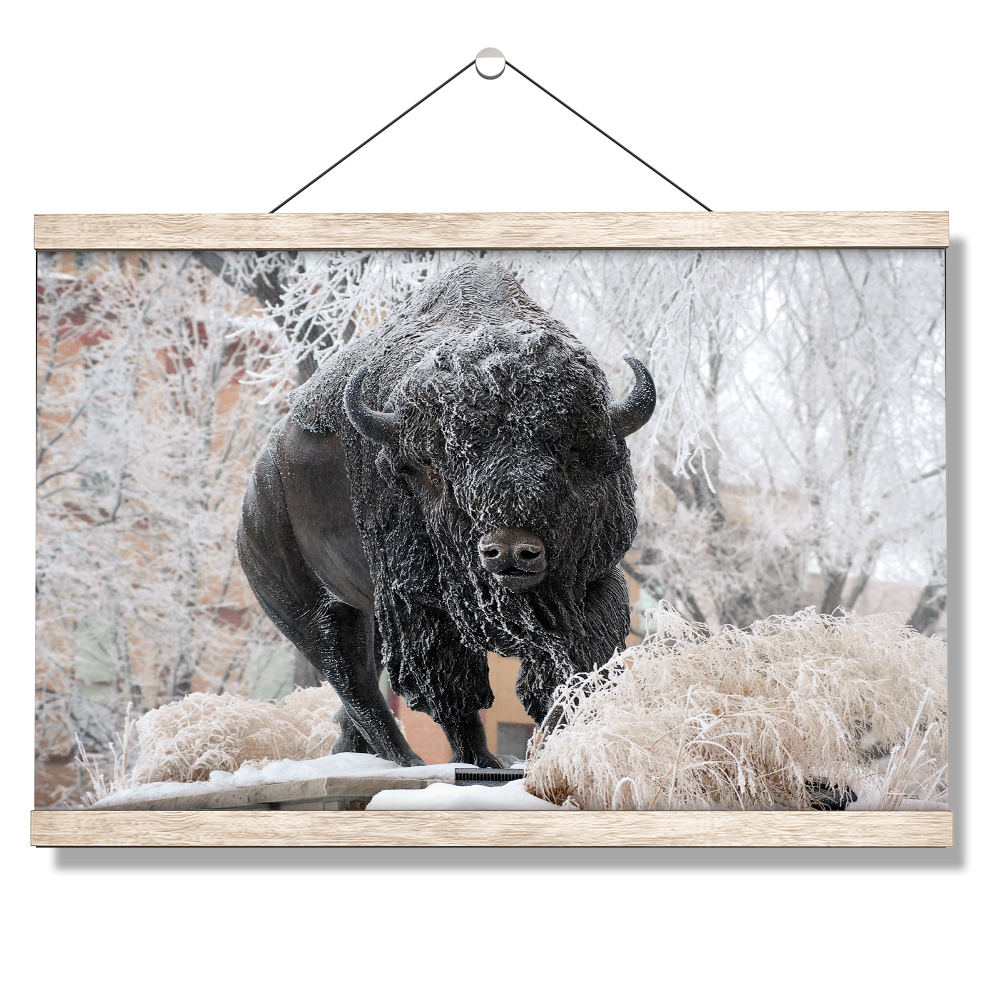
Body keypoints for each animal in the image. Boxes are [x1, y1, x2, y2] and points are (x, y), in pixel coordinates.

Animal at [237, 262, 655, 768]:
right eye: (436, 468)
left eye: (572, 456)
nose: (509, 550)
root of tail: (255, 493)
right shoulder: (418, 604)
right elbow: (453, 689)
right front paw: (482, 763)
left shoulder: (595, 578)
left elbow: (582, 662)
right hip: (309, 611)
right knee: (354, 681)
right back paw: (407, 762)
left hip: (368, 614)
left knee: (358, 685)